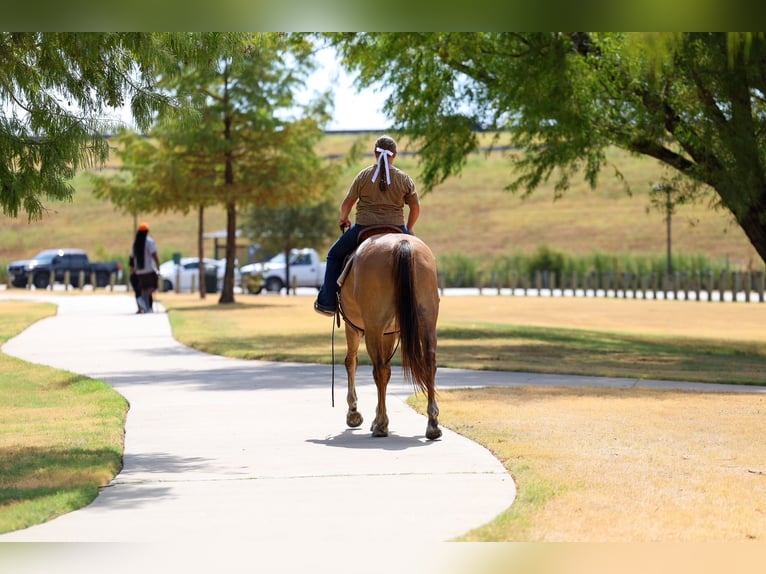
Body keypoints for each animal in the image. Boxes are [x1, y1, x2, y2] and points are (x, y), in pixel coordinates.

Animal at [338, 231, 442, 440]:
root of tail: (402, 244)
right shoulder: (388, 333)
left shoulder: (353, 327)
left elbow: (351, 362)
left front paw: (354, 413)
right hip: (427, 321)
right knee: (429, 364)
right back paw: (432, 424)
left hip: (373, 327)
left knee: (379, 370)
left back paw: (381, 424)